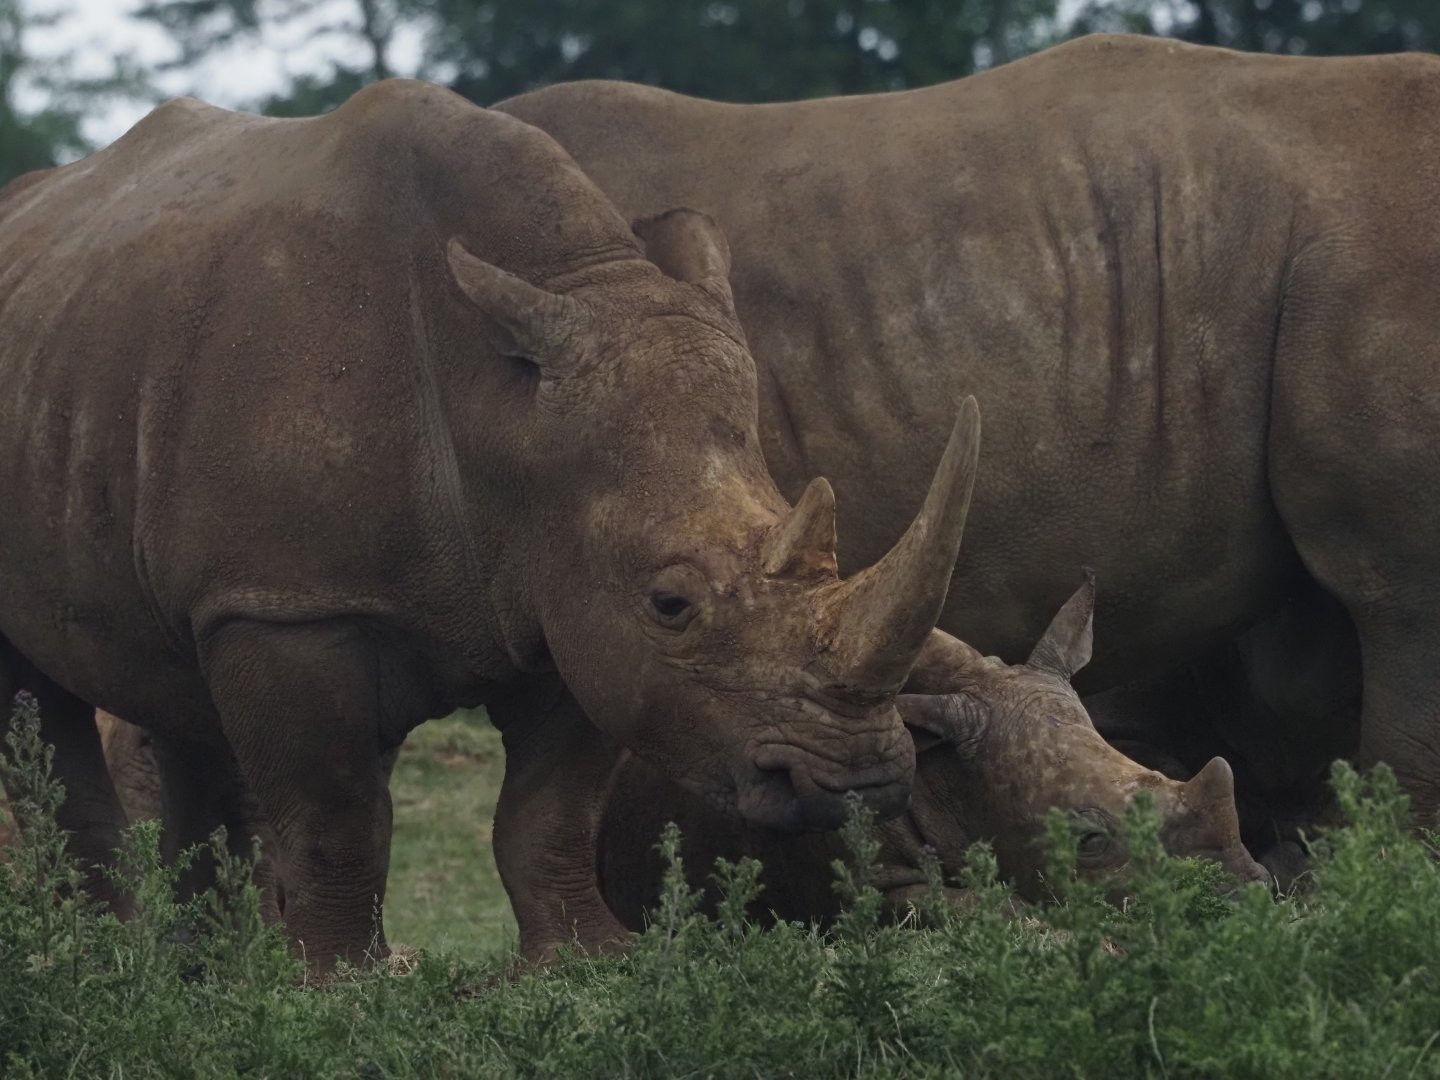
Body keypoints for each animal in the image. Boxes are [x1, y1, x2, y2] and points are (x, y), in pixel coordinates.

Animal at [0, 81, 986, 968]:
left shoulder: (567, 588)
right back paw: (98, 959)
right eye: (672, 604)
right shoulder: (288, 599)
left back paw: (211, 963)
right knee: (47, 707)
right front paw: (340, 986)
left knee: (177, 686)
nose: (857, 782)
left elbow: (551, 808)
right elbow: (335, 812)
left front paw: (589, 962)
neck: (502, 411)